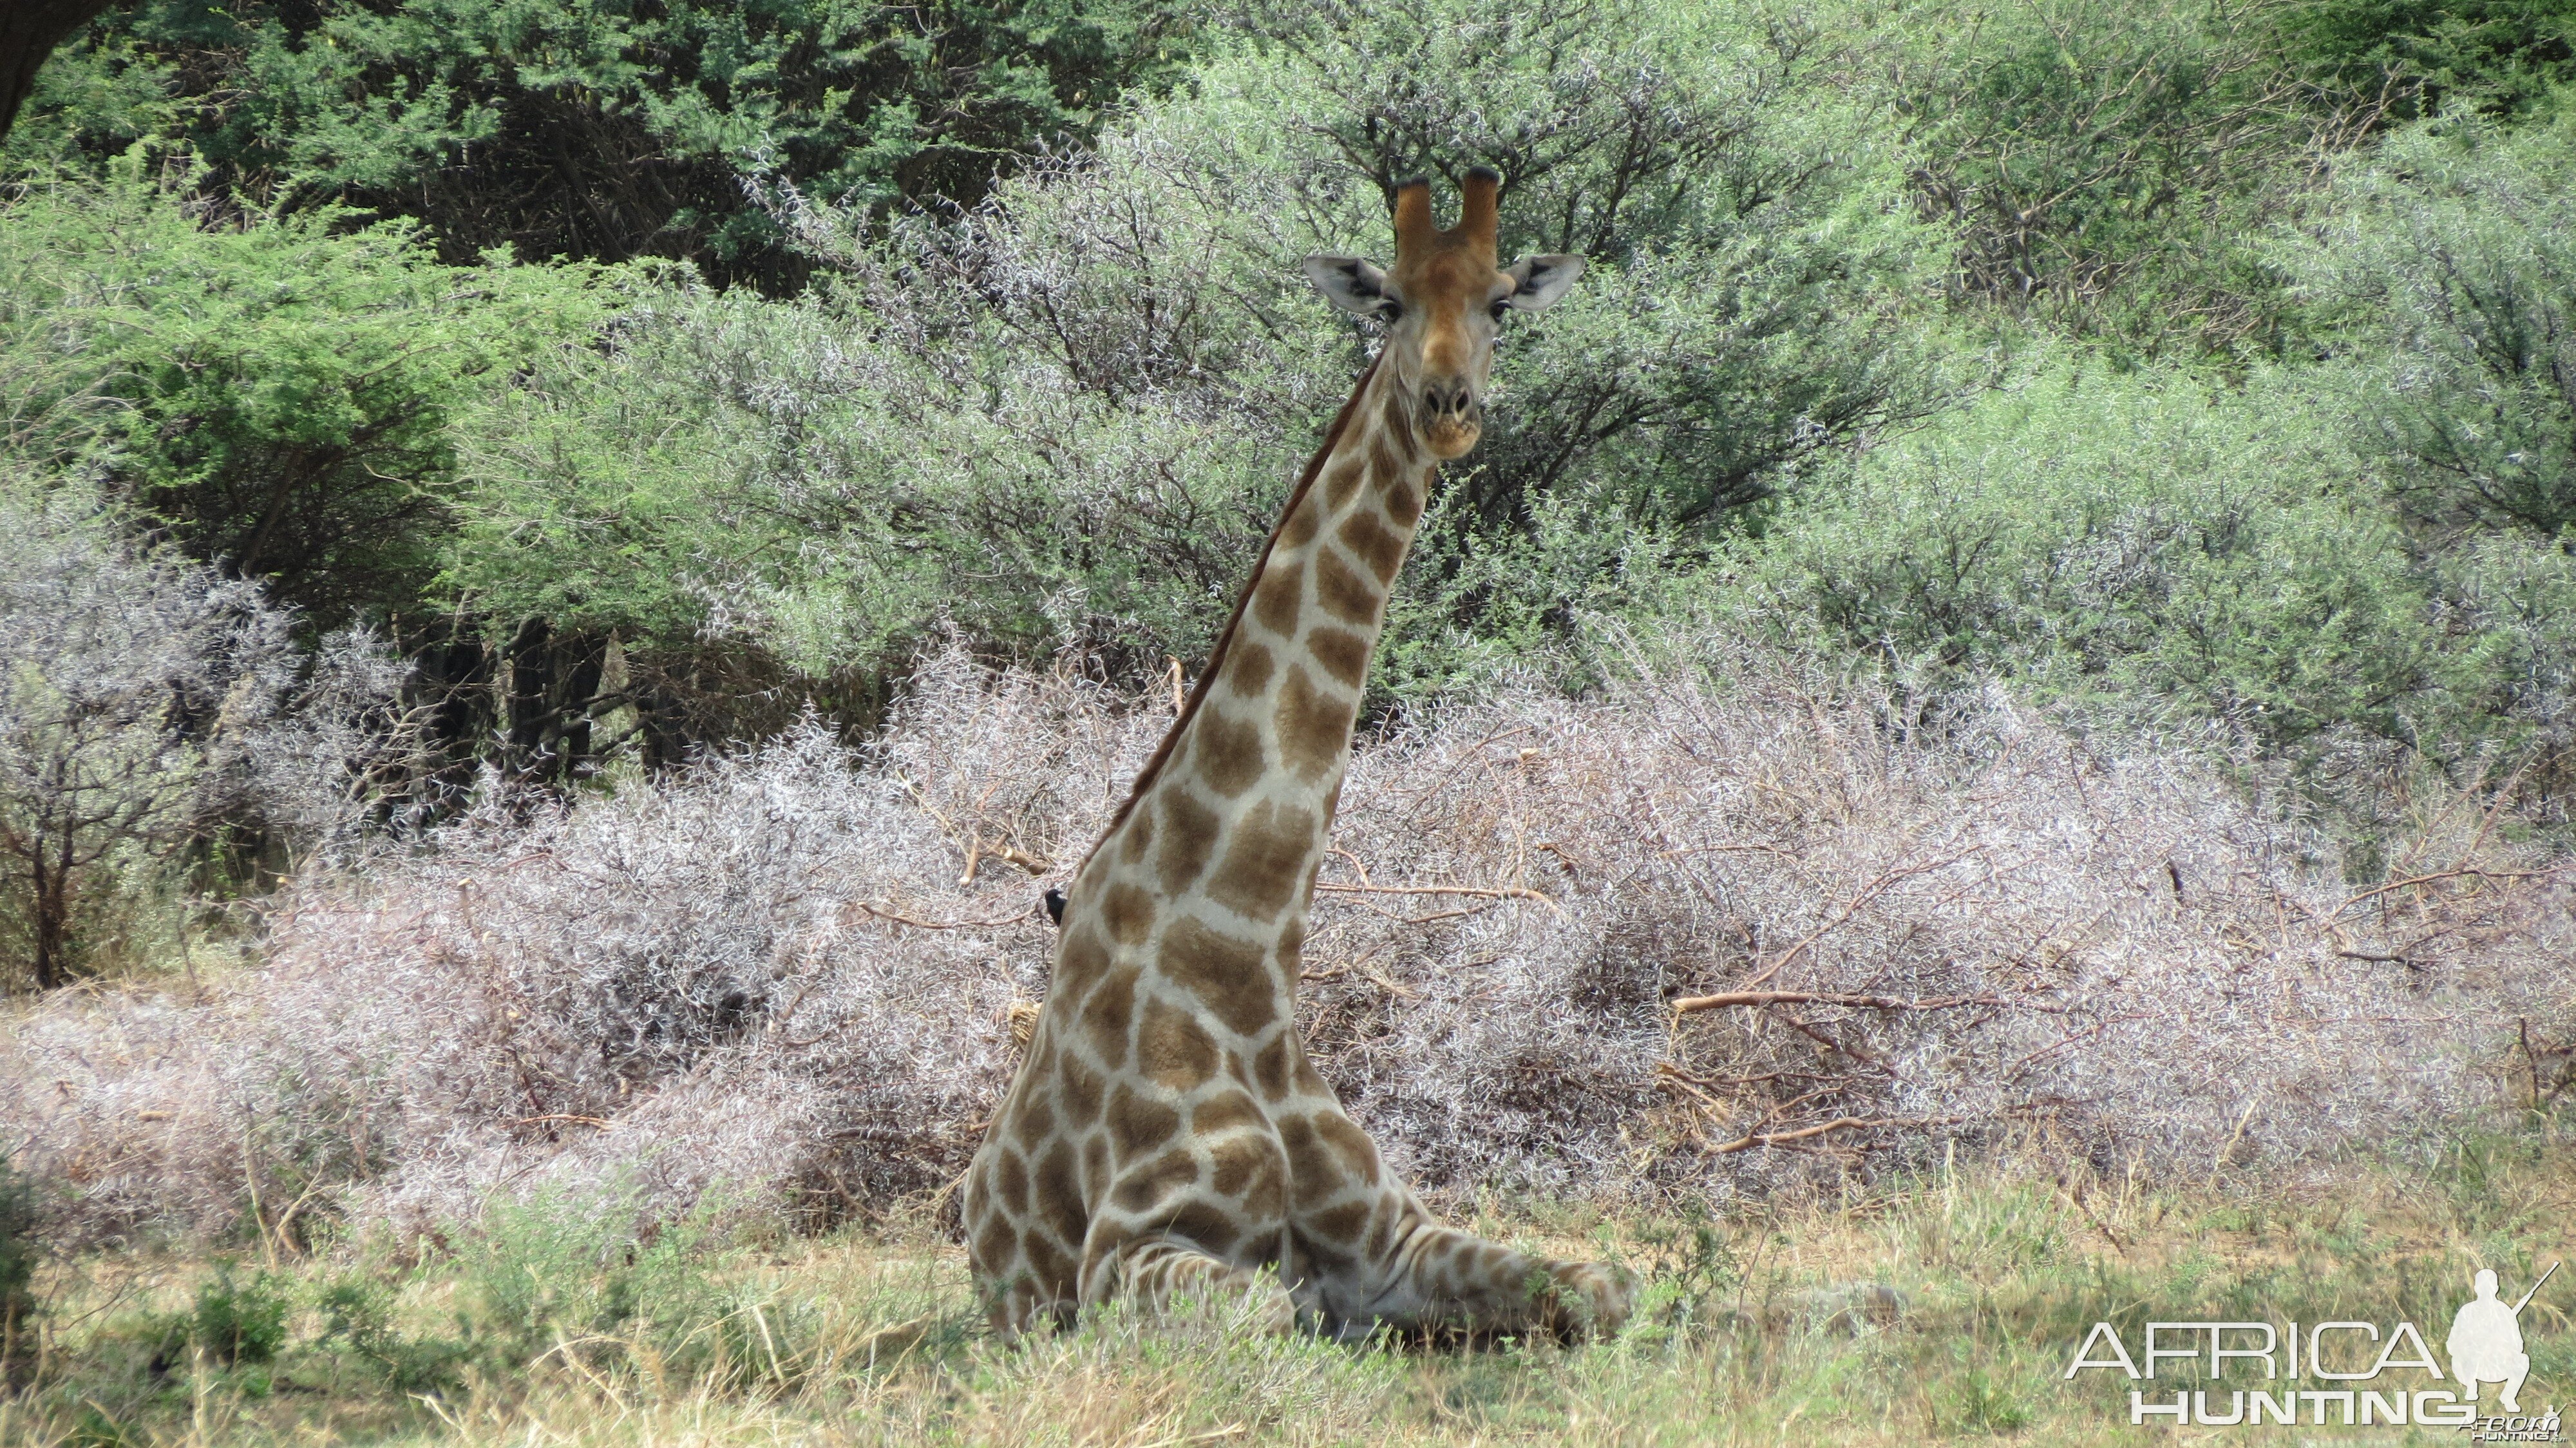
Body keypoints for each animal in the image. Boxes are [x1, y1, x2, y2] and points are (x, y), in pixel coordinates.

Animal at [969, 169, 1628, 1340]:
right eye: (1389, 304)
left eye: (1502, 304)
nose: (1449, 408)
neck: (1246, 950)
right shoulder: (1122, 1255)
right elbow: (1276, 1311)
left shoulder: (1390, 1233)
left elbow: (1604, 1282)